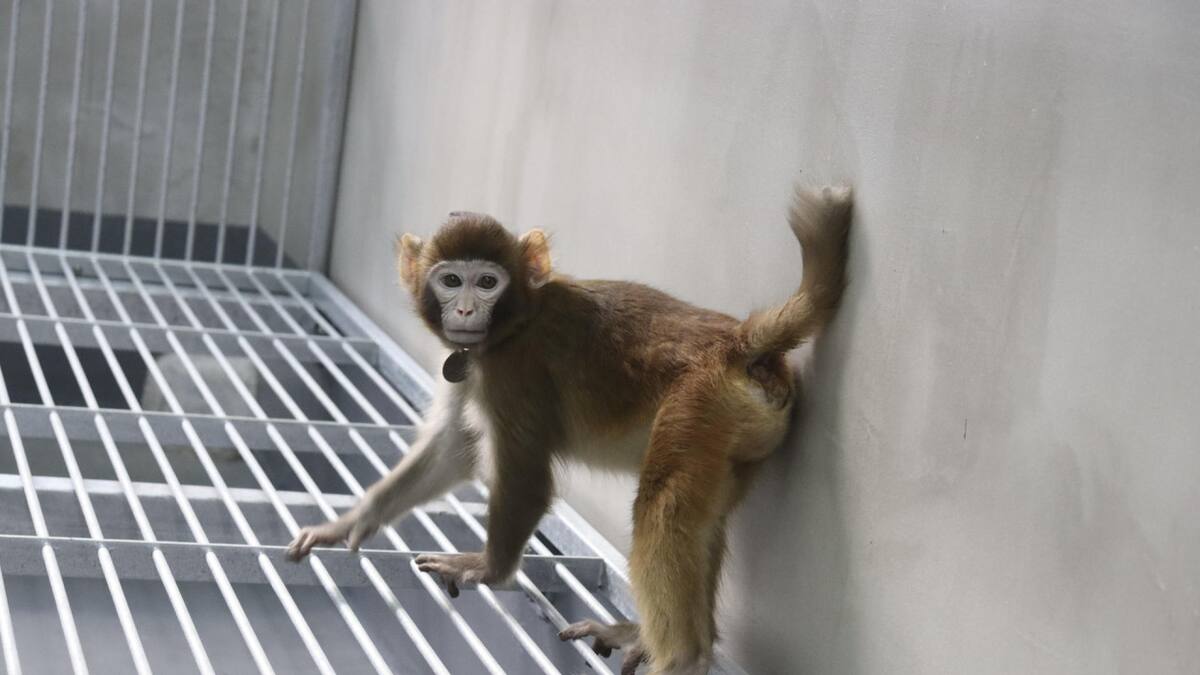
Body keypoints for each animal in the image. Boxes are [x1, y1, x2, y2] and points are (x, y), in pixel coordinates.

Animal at [287, 186, 853, 674]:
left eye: (486, 282)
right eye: (450, 281)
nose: (465, 309)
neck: (517, 319)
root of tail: (739, 343)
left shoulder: (514, 371)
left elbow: (527, 480)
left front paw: (490, 569)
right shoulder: (474, 364)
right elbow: (453, 449)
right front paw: (350, 523)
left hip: (699, 403)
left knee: (663, 505)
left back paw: (681, 657)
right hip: (736, 431)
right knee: (701, 518)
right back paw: (656, 638)